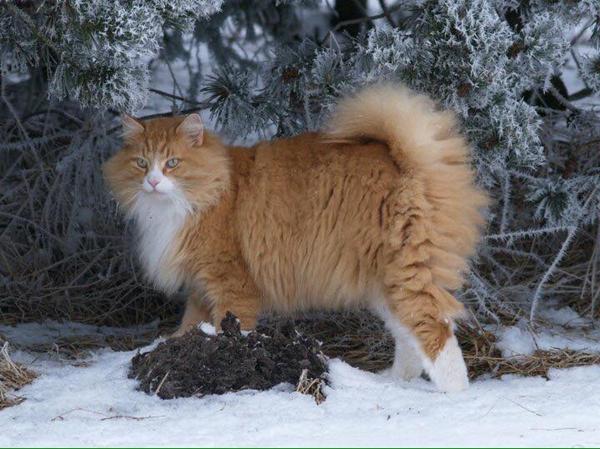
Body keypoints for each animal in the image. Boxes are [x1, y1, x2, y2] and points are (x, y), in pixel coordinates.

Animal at [104, 85, 488, 392]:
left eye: (172, 163)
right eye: (141, 163)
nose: (153, 182)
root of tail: (402, 158)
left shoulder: (230, 283)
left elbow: (234, 331)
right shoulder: (200, 289)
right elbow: (190, 327)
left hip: (406, 273)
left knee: (437, 333)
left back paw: (456, 398)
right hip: (384, 283)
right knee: (409, 339)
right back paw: (393, 383)